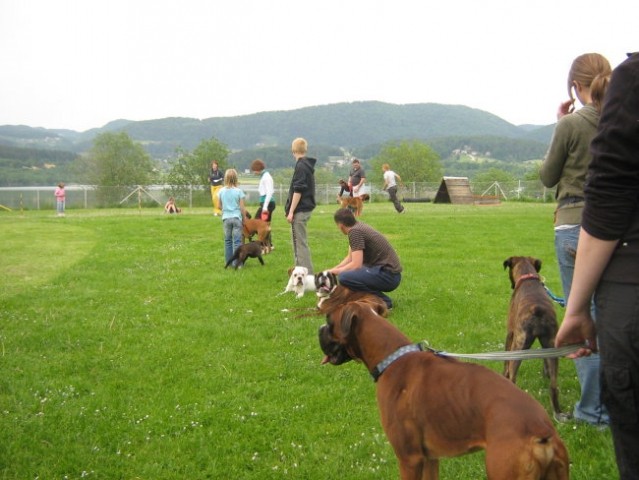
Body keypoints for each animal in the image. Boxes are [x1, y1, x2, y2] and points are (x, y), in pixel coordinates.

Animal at [318, 300, 568, 480]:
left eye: (329, 321)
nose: (319, 328)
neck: (392, 357)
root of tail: (542, 430)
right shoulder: (430, 459)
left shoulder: (409, 459)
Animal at [504, 255, 564, 420]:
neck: (528, 277)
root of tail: (538, 310)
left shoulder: (510, 334)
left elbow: (505, 363)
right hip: (552, 347)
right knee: (553, 386)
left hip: (518, 345)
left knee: (512, 377)